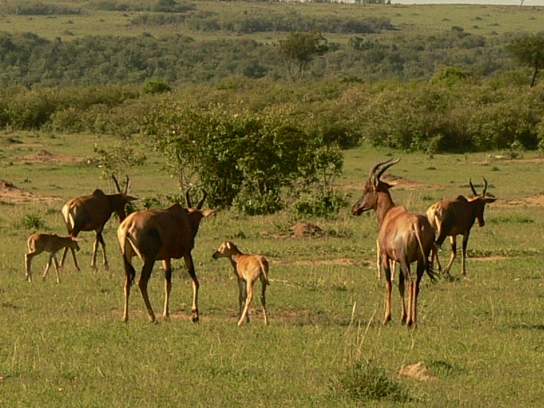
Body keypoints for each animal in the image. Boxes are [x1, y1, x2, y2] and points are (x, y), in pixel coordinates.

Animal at [117, 188, 214, 323]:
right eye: (199, 217)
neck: (183, 218)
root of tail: (128, 226)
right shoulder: (187, 253)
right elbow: (195, 280)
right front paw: (195, 315)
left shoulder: (166, 257)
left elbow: (167, 284)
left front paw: (166, 314)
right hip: (149, 259)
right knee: (142, 282)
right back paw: (152, 317)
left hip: (127, 257)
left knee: (127, 283)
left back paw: (125, 317)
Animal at [352, 158, 435, 327]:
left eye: (367, 189)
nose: (354, 209)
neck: (390, 214)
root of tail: (416, 224)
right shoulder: (399, 260)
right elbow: (400, 285)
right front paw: (402, 316)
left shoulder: (386, 257)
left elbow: (389, 283)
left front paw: (387, 318)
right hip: (419, 260)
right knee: (416, 284)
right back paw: (414, 319)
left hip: (404, 260)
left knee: (411, 282)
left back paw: (410, 321)